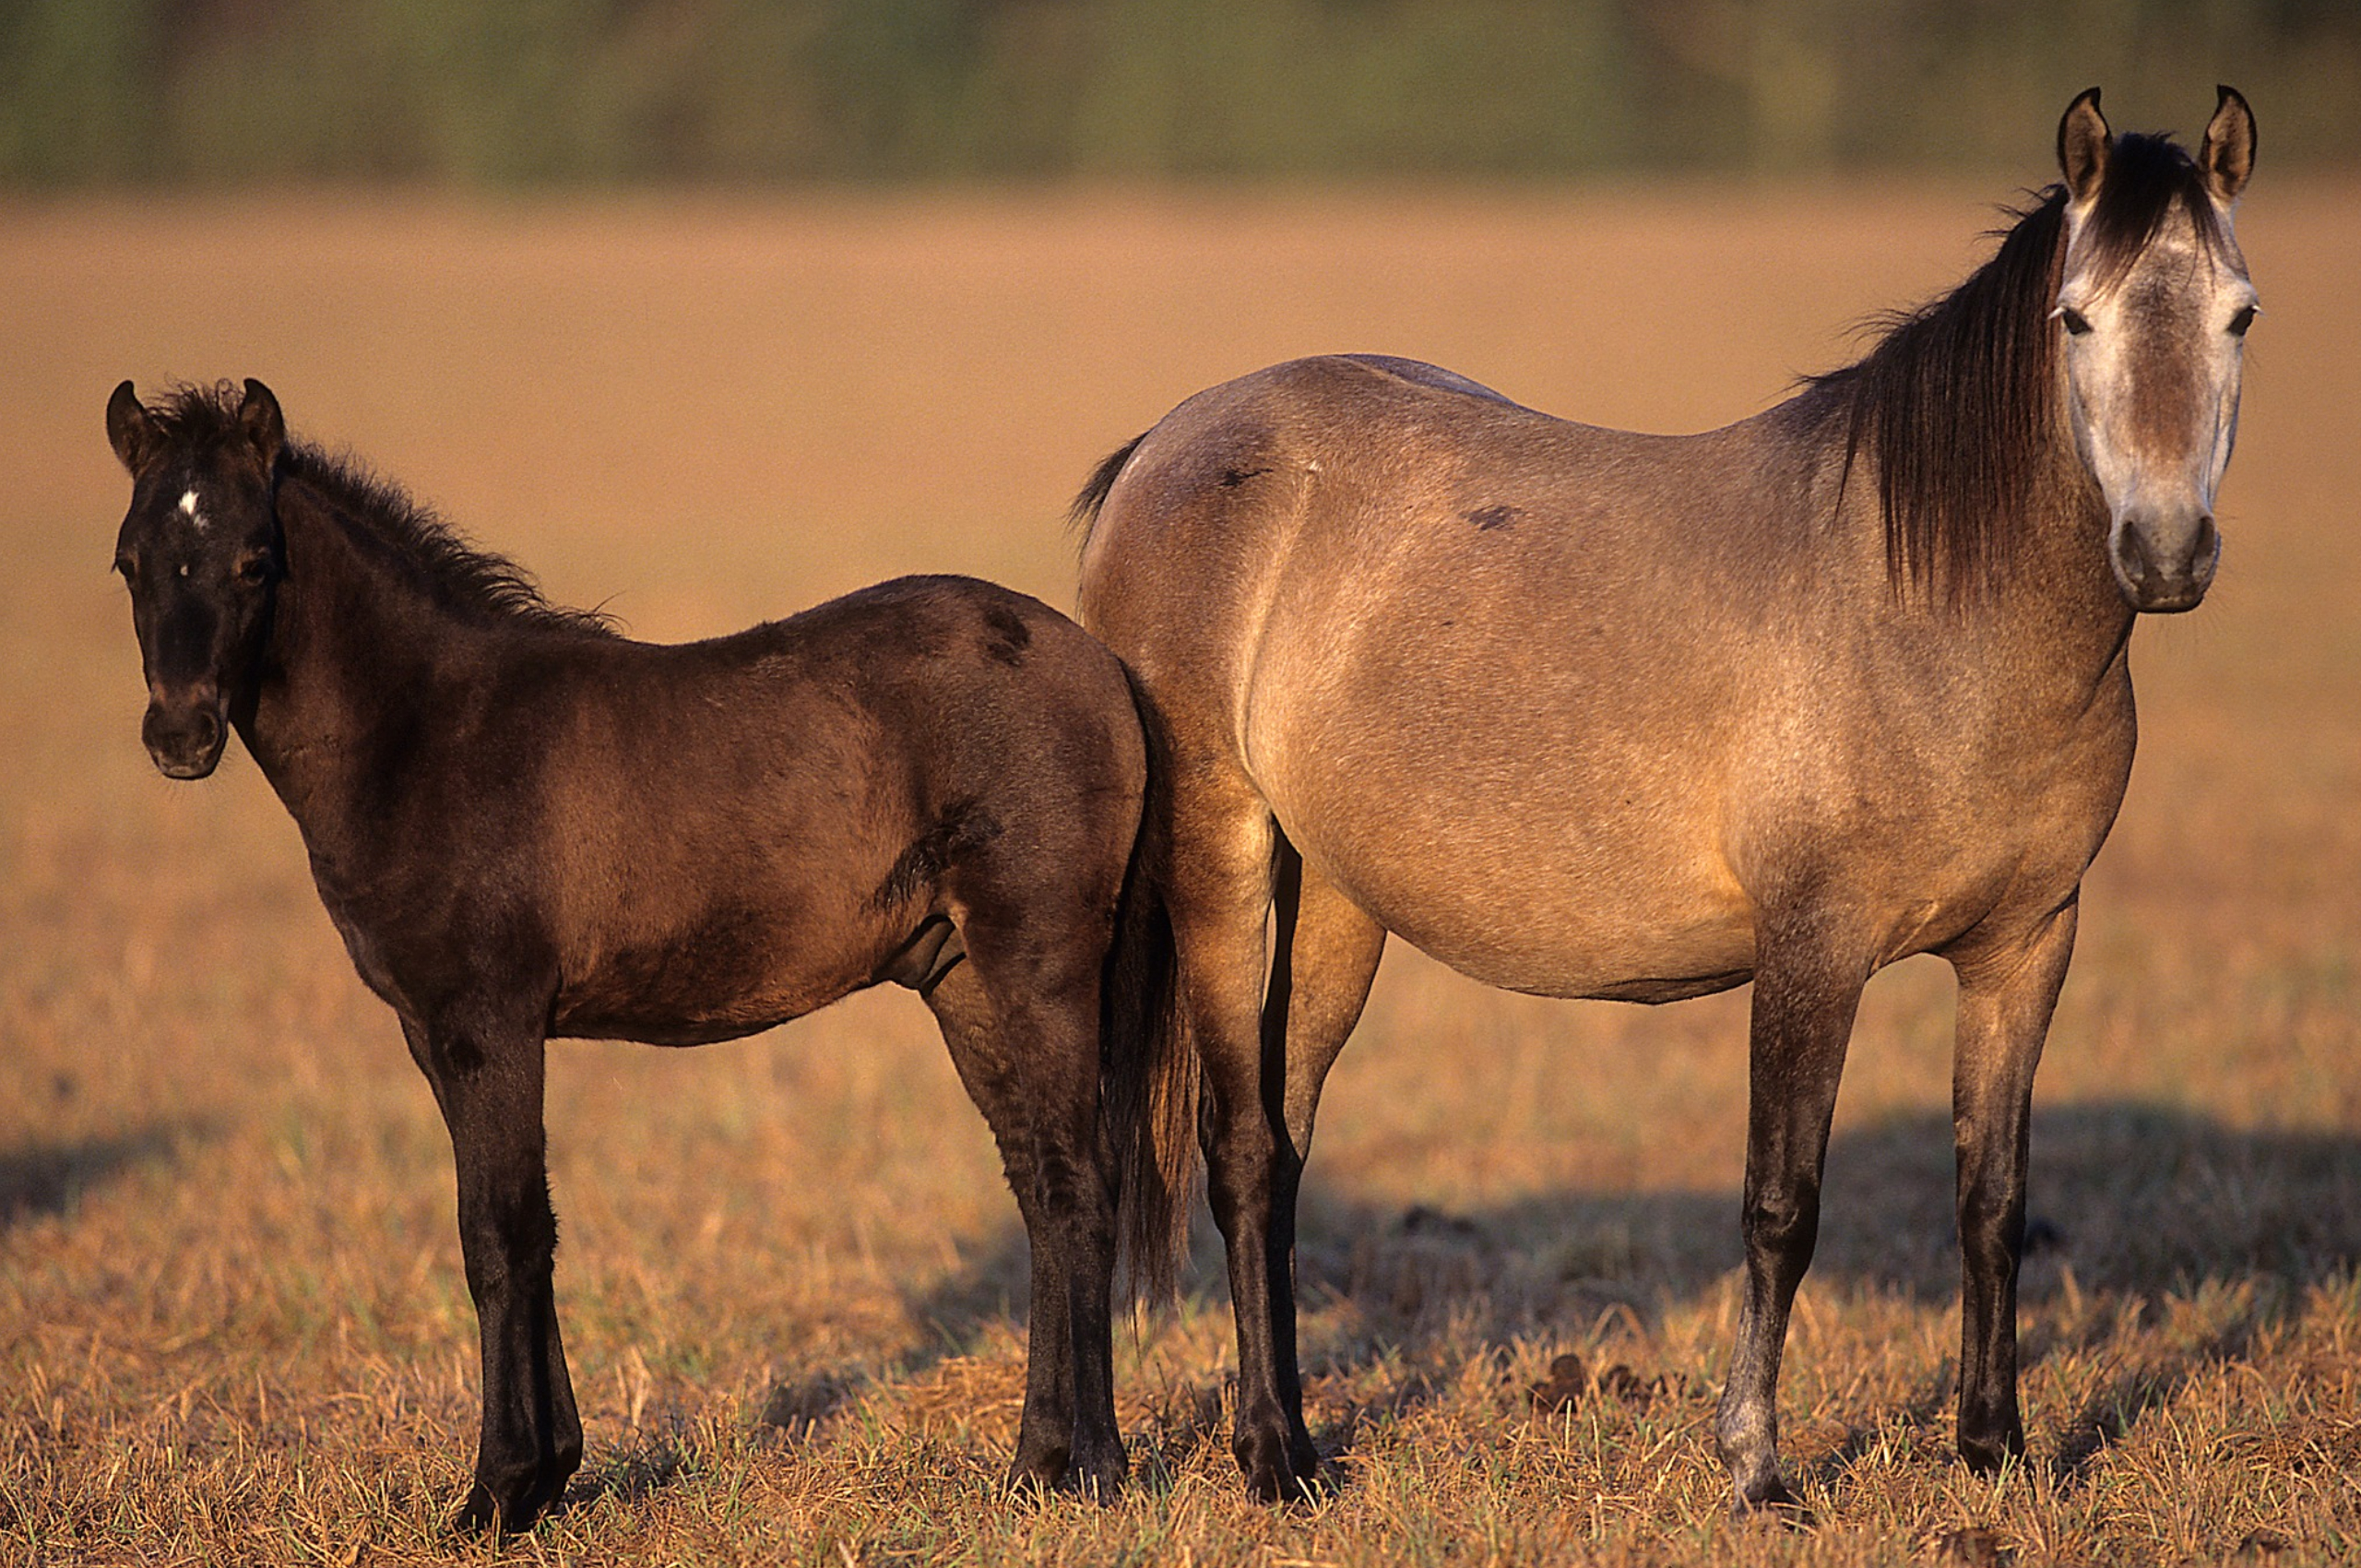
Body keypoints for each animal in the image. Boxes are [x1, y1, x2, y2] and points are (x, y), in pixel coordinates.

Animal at [105, 379, 1183, 1530]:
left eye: (254, 559)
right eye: (129, 560)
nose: (180, 735)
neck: (432, 733)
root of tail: (1098, 663)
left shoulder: (488, 1024)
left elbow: (498, 1233)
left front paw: (497, 1490)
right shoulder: (432, 1033)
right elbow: (529, 1229)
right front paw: (548, 1473)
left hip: (1041, 964)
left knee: (1080, 1185)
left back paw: (1096, 1469)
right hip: (963, 982)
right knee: (1037, 1185)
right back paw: (1033, 1464)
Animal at [1073, 87, 2259, 1509]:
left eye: (2239, 314)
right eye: (2075, 319)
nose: (2167, 553)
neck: (1931, 609)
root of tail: (1168, 444)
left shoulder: (2027, 946)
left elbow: (1993, 1201)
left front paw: (1994, 1451)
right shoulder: (1812, 950)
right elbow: (1781, 1204)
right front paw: (1754, 1463)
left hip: (1339, 909)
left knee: (1286, 1149)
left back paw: (1297, 1438)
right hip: (1220, 862)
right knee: (1242, 1151)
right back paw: (1268, 1454)